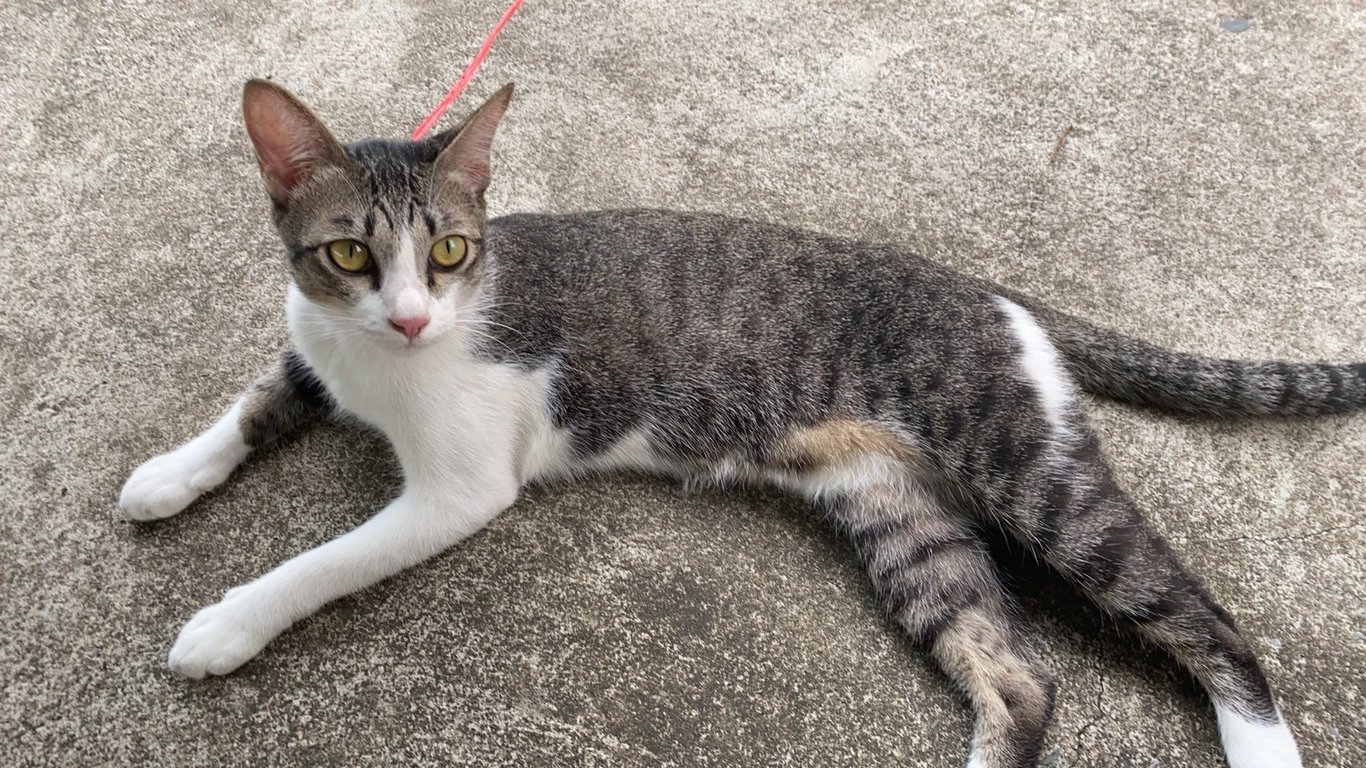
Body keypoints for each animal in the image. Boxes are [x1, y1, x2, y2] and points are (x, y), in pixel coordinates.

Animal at [117, 80, 1363, 768]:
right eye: (347, 255)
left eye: (453, 249)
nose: (415, 315)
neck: (378, 362)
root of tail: (991, 291)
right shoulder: (315, 346)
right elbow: (253, 403)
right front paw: (167, 476)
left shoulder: (459, 490)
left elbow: (321, 562)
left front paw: (227, 624)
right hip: (898, 515)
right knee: (1017, 680)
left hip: (1028, 473)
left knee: (1204, 618)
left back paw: (1261, 744)